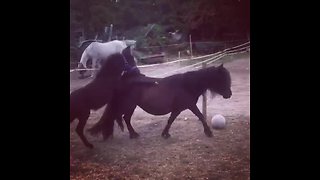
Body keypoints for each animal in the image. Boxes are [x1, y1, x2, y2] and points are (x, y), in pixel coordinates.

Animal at [90, 60, 232, 139]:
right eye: (222, 79)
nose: (229, 94)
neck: (187, 85)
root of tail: (123, 80)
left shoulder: (178, 109)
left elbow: (170, 120)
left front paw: (165, 134)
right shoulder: (189, 106)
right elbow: (201, 116)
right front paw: (208, 132)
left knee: (123, 118)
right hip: (128, 105)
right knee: (121, 118)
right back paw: (131, 134)